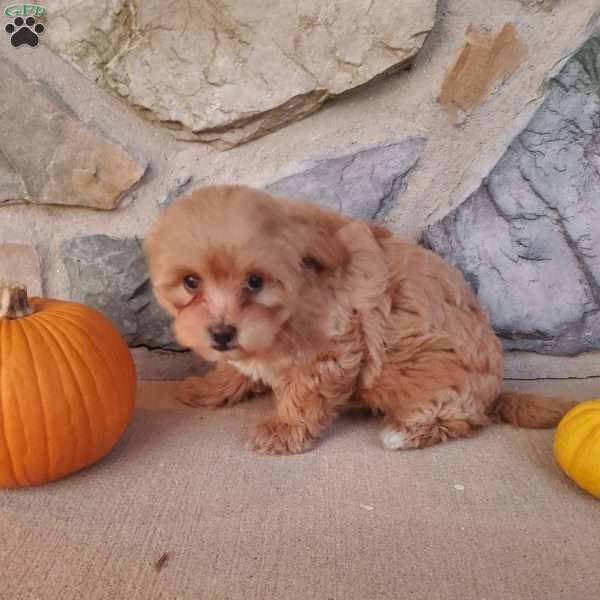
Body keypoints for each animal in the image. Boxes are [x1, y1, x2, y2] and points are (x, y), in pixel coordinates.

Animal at [143, 185, 576, 452]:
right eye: (191, 282)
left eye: (255, 281)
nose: (221, 333)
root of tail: (495, 393)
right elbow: (237, 369)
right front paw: (206, 388)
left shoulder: (330, 352)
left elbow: (303, 397)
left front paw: (283, 431)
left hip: (450, 391)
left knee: (458, 420)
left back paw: (404, 432)